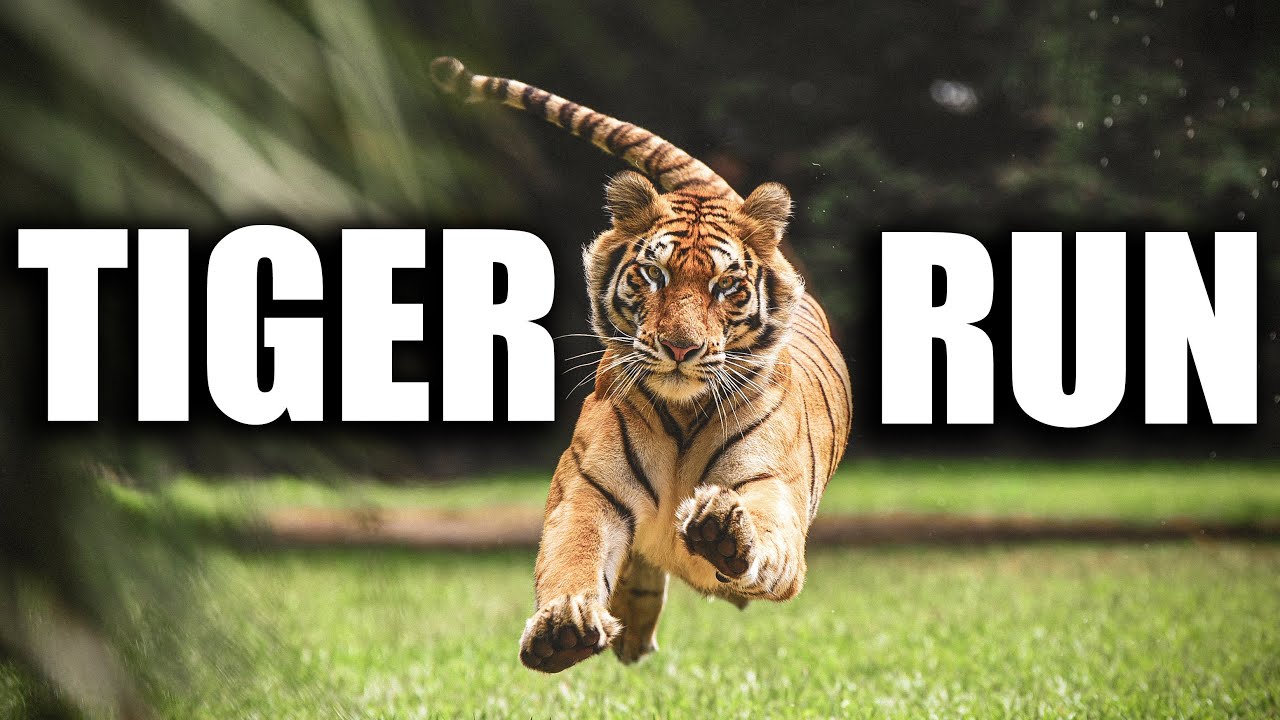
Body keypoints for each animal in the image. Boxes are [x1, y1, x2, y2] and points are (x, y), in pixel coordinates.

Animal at [431, 57, 852, 673]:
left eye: (727, 286)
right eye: (654, 274)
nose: (680, 348)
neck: (683, 415)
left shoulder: (772, 491)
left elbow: (761, 536)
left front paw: (723, 532)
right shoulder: (588, 490)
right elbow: (573, 555)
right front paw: (563, 628)